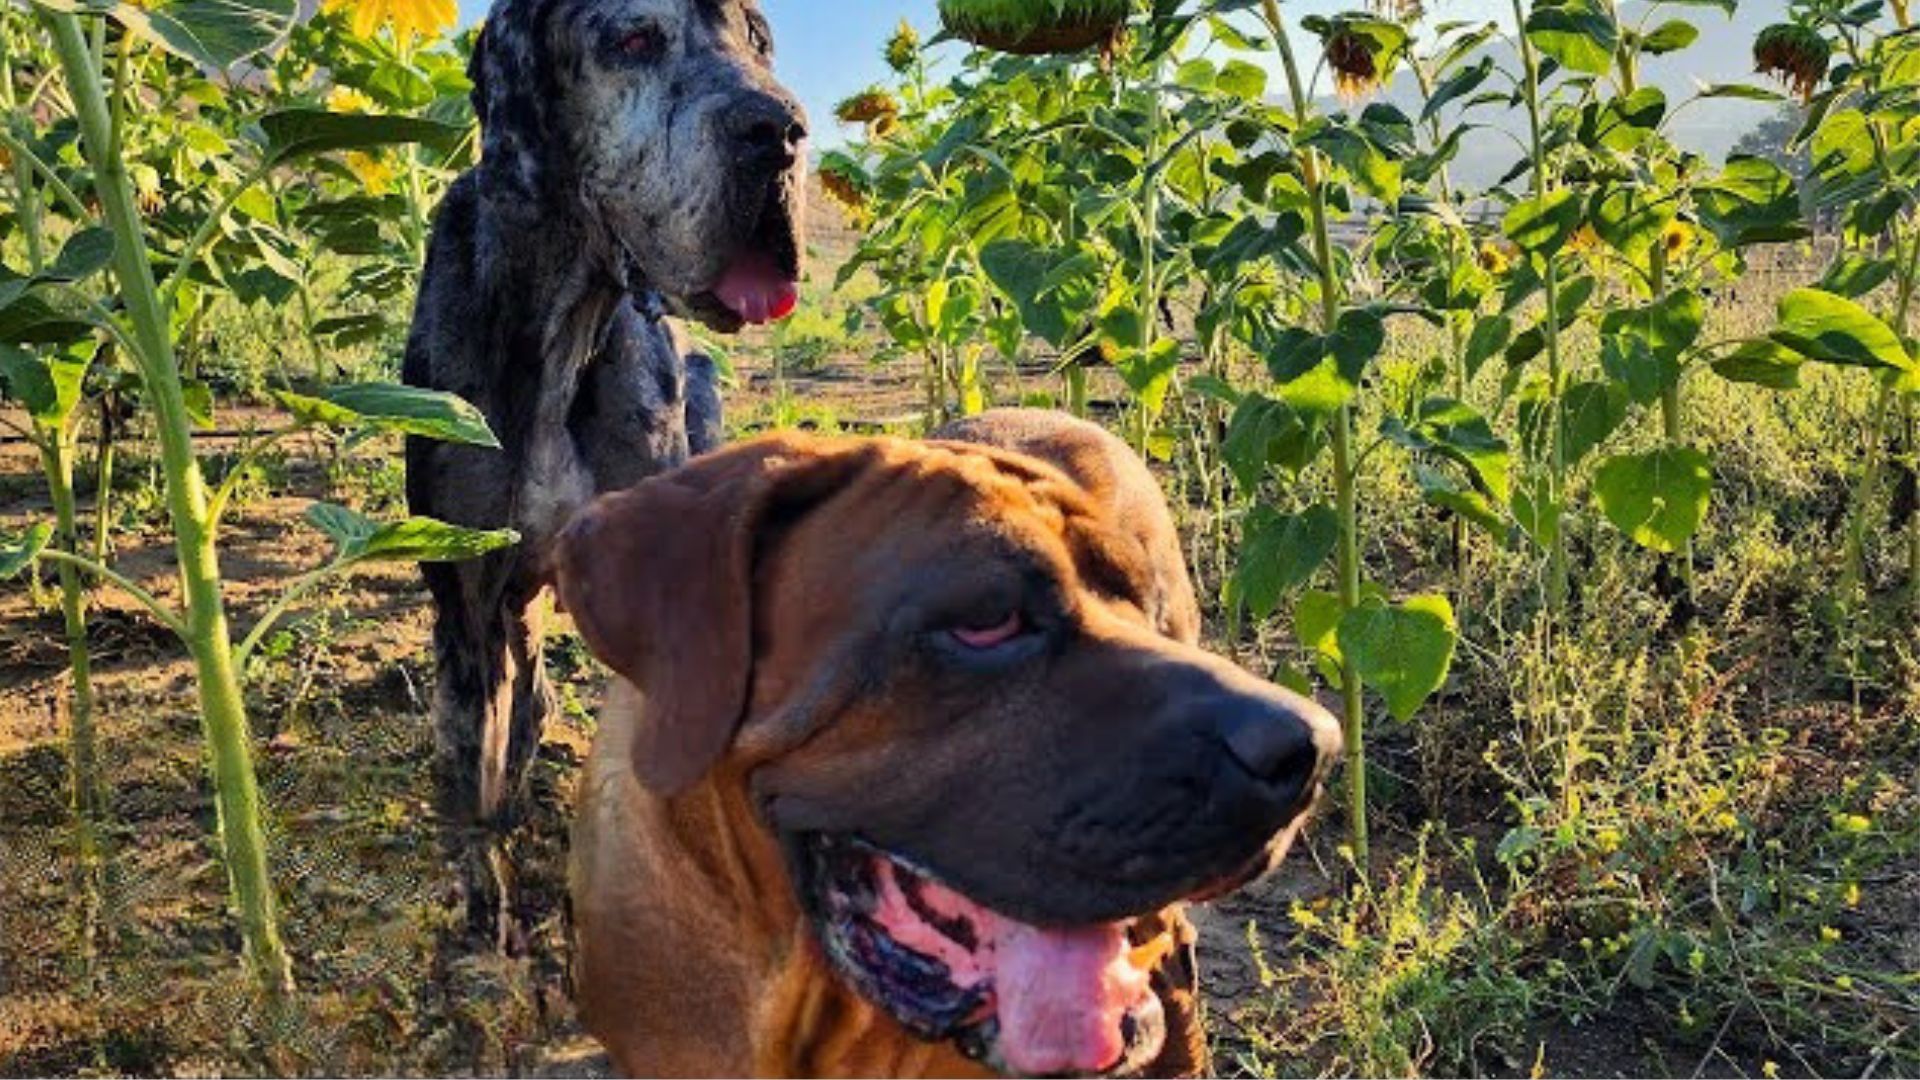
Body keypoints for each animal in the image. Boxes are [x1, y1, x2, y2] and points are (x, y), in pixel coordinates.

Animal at [403, 0, 802, 937]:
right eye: (632, 39)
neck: (562, 328)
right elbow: (474, 768)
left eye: (759, 40)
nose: (781, 132)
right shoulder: (468, 591)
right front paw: (484, 914)